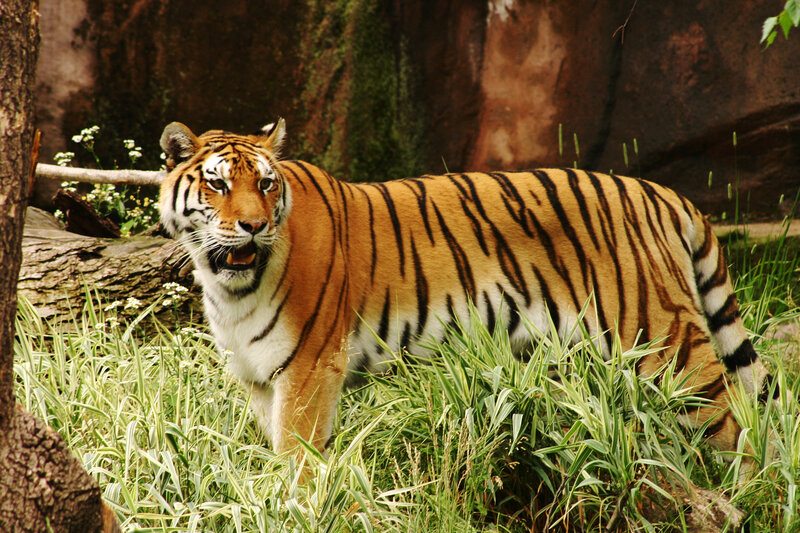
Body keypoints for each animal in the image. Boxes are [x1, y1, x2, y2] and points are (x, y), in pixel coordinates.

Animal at [158, 119, 774, 457]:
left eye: (265, 184)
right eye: (217, 185)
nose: (253, 225)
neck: (229, 287)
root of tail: (663, 193)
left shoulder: (309, 368)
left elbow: (298, 457)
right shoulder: (260, 379)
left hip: (665, 343)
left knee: (737, 427)